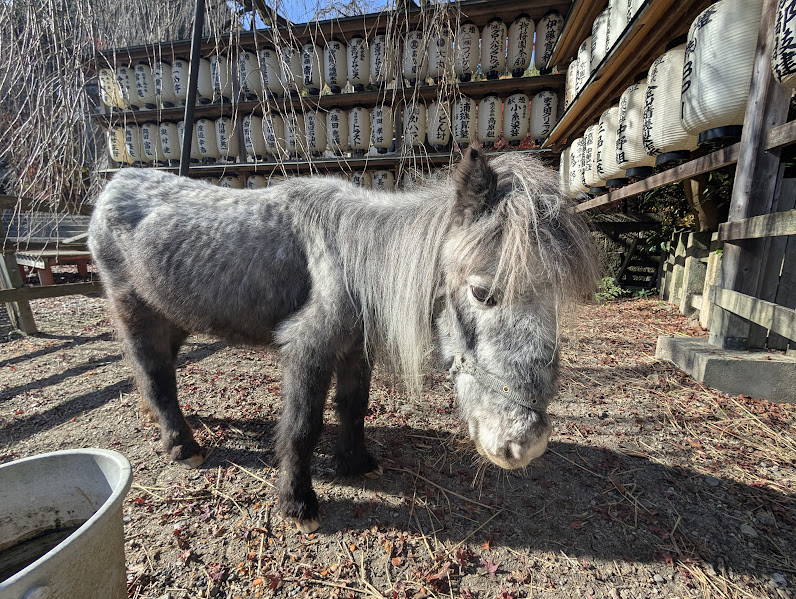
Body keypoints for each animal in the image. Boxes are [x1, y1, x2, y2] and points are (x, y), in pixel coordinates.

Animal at [88, 147, 599, 533]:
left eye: (554, 301)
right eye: (480, 292)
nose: (525, 444)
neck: (355, 261)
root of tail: (112, 186)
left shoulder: (355, 349)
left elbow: (354, 408)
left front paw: (356, 463)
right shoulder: (308, 350)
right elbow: (302, 426)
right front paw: (297, 504)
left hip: (173, 318)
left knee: (156, 373)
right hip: (136, 312)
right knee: (154, 374)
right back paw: (182, 446)